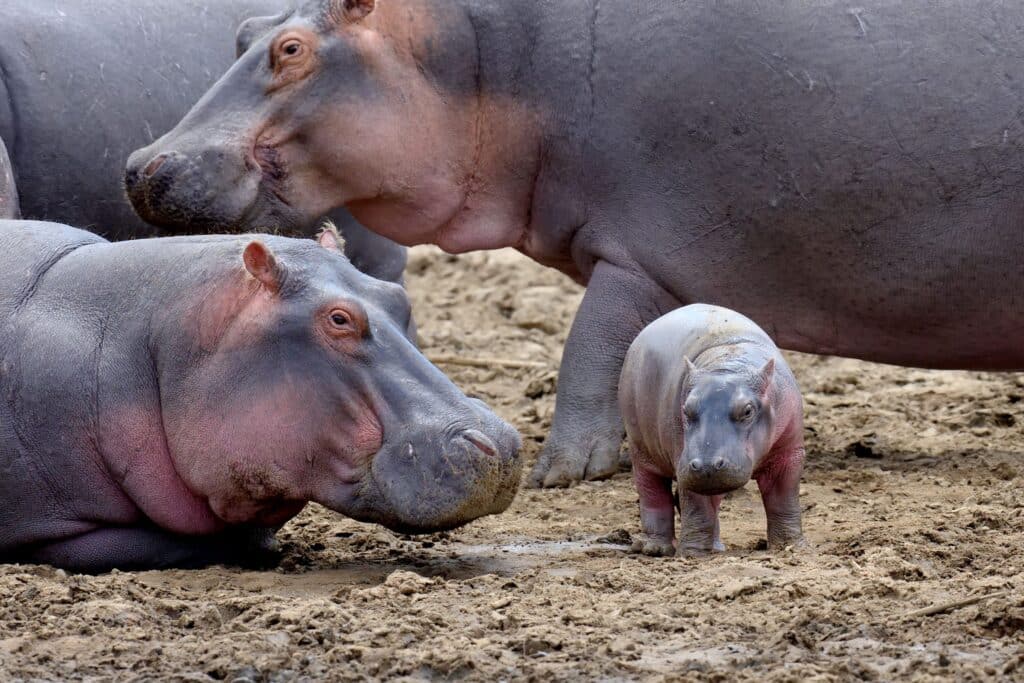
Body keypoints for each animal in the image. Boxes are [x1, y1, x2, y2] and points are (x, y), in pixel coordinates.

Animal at [125, 0, 1024, 489]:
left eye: (292, 49)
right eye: (242, 28)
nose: (141, 165)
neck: (476, 57)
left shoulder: (639, 250)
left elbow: (590, 346)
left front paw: (563, 468)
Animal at [619, 305, 805, 556]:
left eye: (747, 410)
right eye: (686, 410)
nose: (706, 464)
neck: (729, 364)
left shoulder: (788, 452)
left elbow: (783, 499)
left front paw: (790, 547)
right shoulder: (685, 459)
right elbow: (696, 507)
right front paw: (692, 554)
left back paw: (716, 548)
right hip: (641, 449)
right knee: (652, 493)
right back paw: (655, 548)